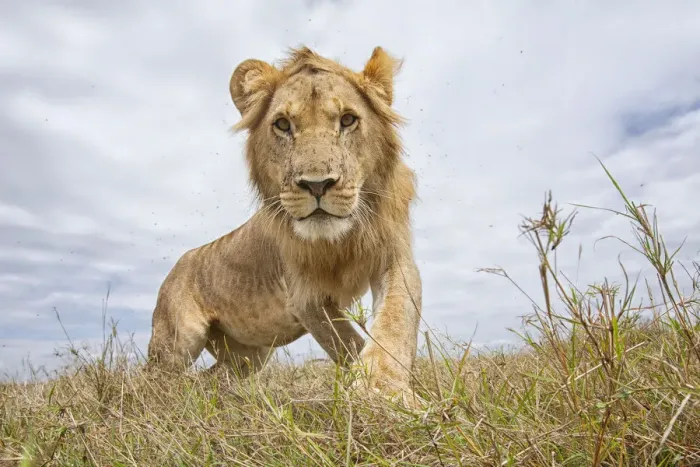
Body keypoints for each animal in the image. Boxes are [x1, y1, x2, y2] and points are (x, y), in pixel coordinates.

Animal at [147, 45, 422, 402]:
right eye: (282, 124)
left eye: (348, 119)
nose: (317, 185)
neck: (340, 239)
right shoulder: (306, 298)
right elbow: (348, 344)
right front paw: (376, 395)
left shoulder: (394, 258)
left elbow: (396, 319)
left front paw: (384, 390)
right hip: (177, 340)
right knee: (155, 379)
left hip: (250, 354)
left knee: (214, 377)